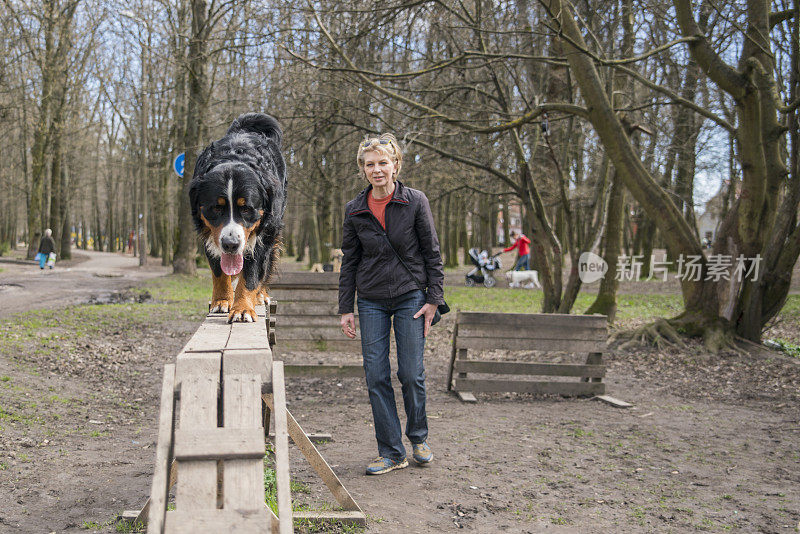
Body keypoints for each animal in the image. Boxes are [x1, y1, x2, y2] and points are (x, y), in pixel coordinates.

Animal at [190, 111, 288, 324]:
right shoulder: (209, 234)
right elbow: (219, 271)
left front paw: (242, 308)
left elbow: (251, 274)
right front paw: (221, 301)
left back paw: (260, 295)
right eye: (216, 208)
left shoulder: (263, 237)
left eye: (246, 209)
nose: (230, 244)